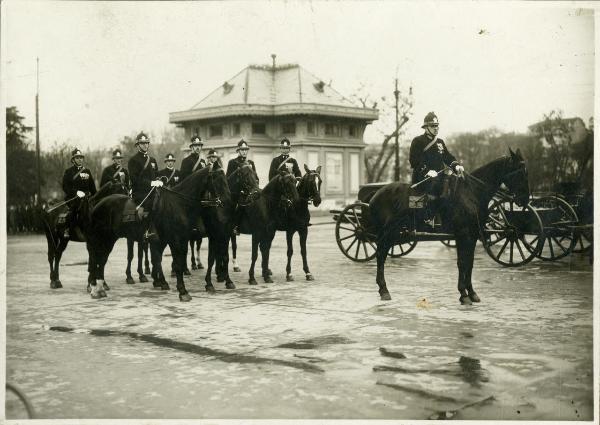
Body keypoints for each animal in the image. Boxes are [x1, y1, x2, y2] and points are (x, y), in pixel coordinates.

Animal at [370, 147, 528, 304]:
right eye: (519, 173)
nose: (524, 201)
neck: (471, 194)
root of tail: (376, 194)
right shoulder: (462, 234)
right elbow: (462, 262)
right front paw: (463, 294)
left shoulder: (473, 235)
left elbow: (470, 262)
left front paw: (472, 293)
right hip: (389, 232)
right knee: (381, 254)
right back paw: (384, 290)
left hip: (394, 233)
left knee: (382, 253)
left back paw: (382, 289)